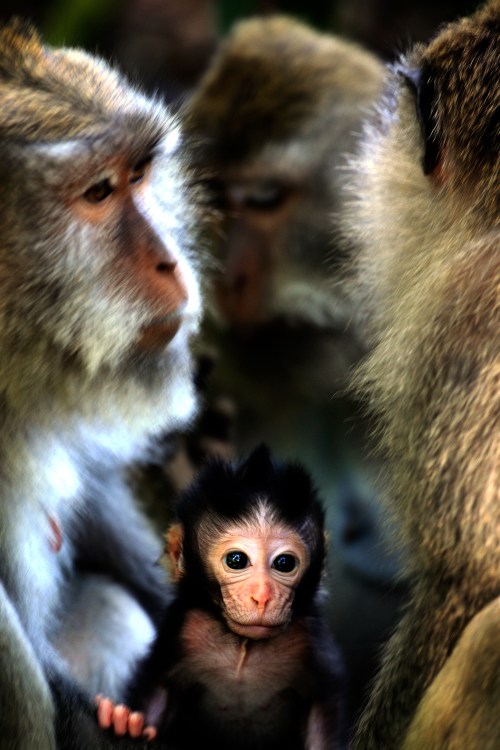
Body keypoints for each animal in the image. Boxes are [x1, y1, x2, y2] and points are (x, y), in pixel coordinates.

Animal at [96, 443, 346, 750]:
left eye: (285, 563)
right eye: (236, 560)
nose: (262, 596)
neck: (243, 647)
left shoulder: (307, 638)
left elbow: (322, 707)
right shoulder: (183, 632)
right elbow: (157, 692)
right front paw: (125, 724)